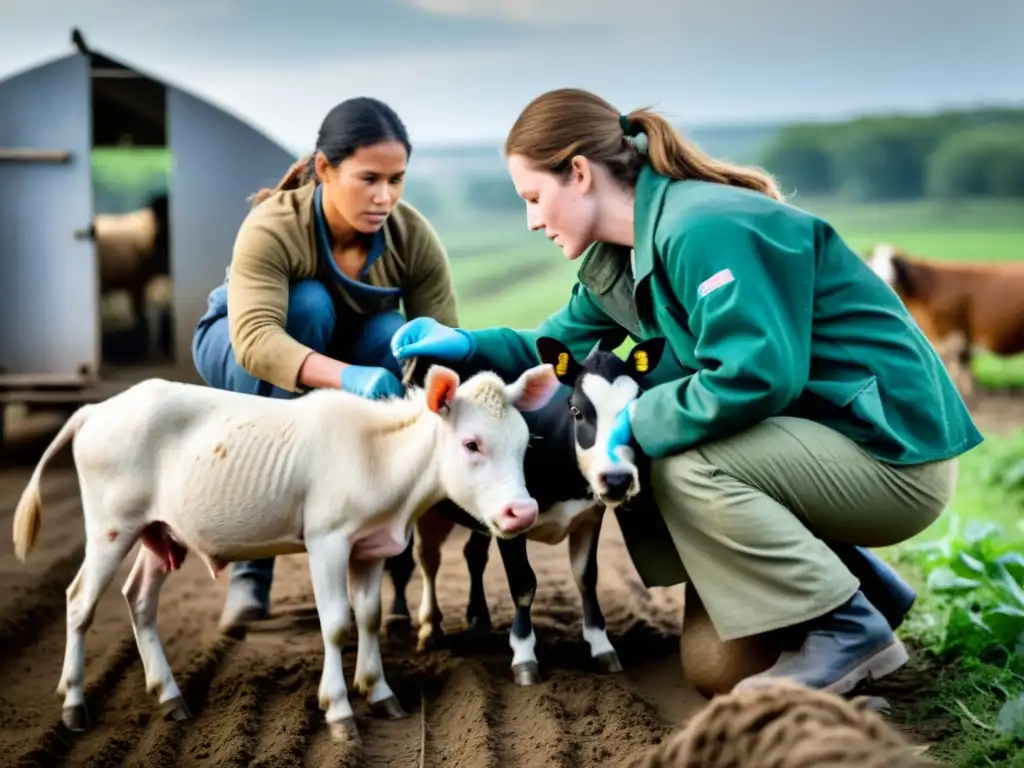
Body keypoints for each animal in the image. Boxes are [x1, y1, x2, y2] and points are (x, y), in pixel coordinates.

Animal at [9, 364, 561, 745]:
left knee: (139, 599)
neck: (382, 462)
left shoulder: (371, 547)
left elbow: (369, 616)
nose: (522, 511)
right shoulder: (327, 541)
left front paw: (380, 693)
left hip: (159, 531)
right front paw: (339, 712)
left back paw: (170, 695)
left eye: (522, 444)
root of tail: (99, 409)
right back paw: (74, 703)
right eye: (471, 443)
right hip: (110, 526)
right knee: (79, 601)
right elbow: (336, 624)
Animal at [382, 335, 663, 684]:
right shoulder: (512, 521)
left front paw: (601, 646)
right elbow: (523, 584)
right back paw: (428, 627)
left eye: (635, 407)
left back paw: (478, 618)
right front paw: (524, 656)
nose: (616, 480)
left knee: (473, 555)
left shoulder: (588, 517)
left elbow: (586, 578)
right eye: (577, 411)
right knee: (426, 559)